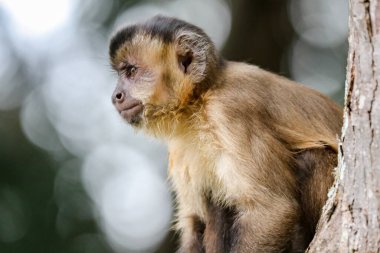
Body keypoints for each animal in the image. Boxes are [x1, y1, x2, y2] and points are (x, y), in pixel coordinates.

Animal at [108, 16, 342, 253]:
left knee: (312, 158)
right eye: (123, 73)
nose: (115, 95)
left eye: (131, 71)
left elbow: (272, 210)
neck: (199, 100)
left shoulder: (229, 110)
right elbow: (195, 222)